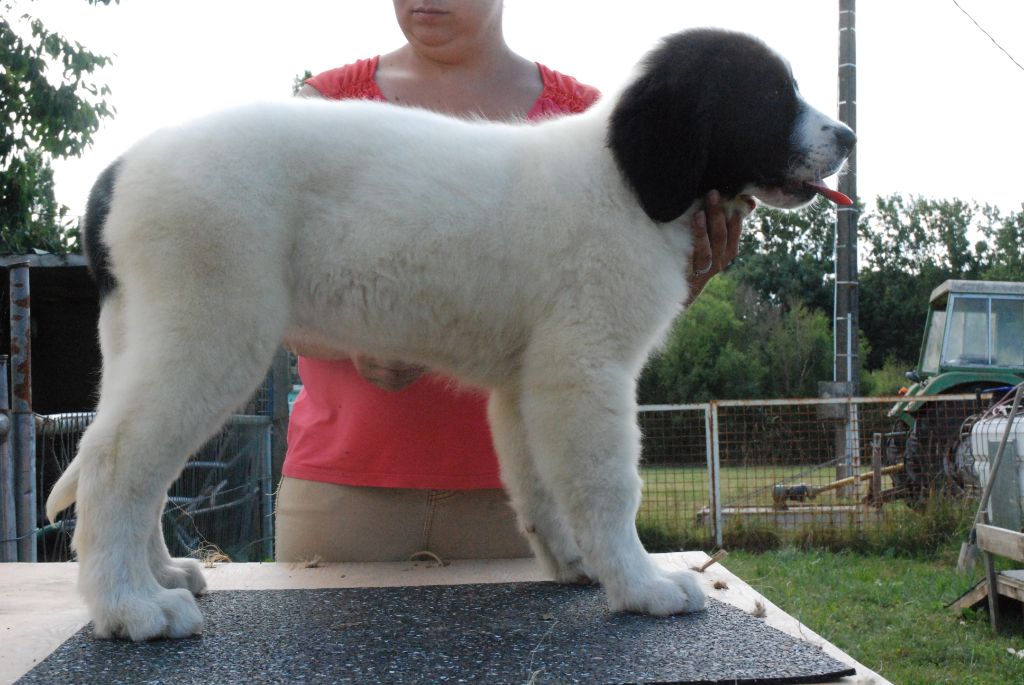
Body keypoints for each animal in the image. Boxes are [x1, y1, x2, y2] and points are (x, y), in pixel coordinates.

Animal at [47, 28, 854, 640]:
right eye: (768, 95)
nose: (847, 133)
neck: (625, 180)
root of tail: (118, 170)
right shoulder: (584, 366)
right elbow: (607, 485)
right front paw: (642, 585)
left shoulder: (531, 379)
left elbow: (540, 486)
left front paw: (574, 564)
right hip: (212, 332)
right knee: (116, 463)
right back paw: (132, 608)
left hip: (143, 337)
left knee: (124, 463)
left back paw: (159, 574)